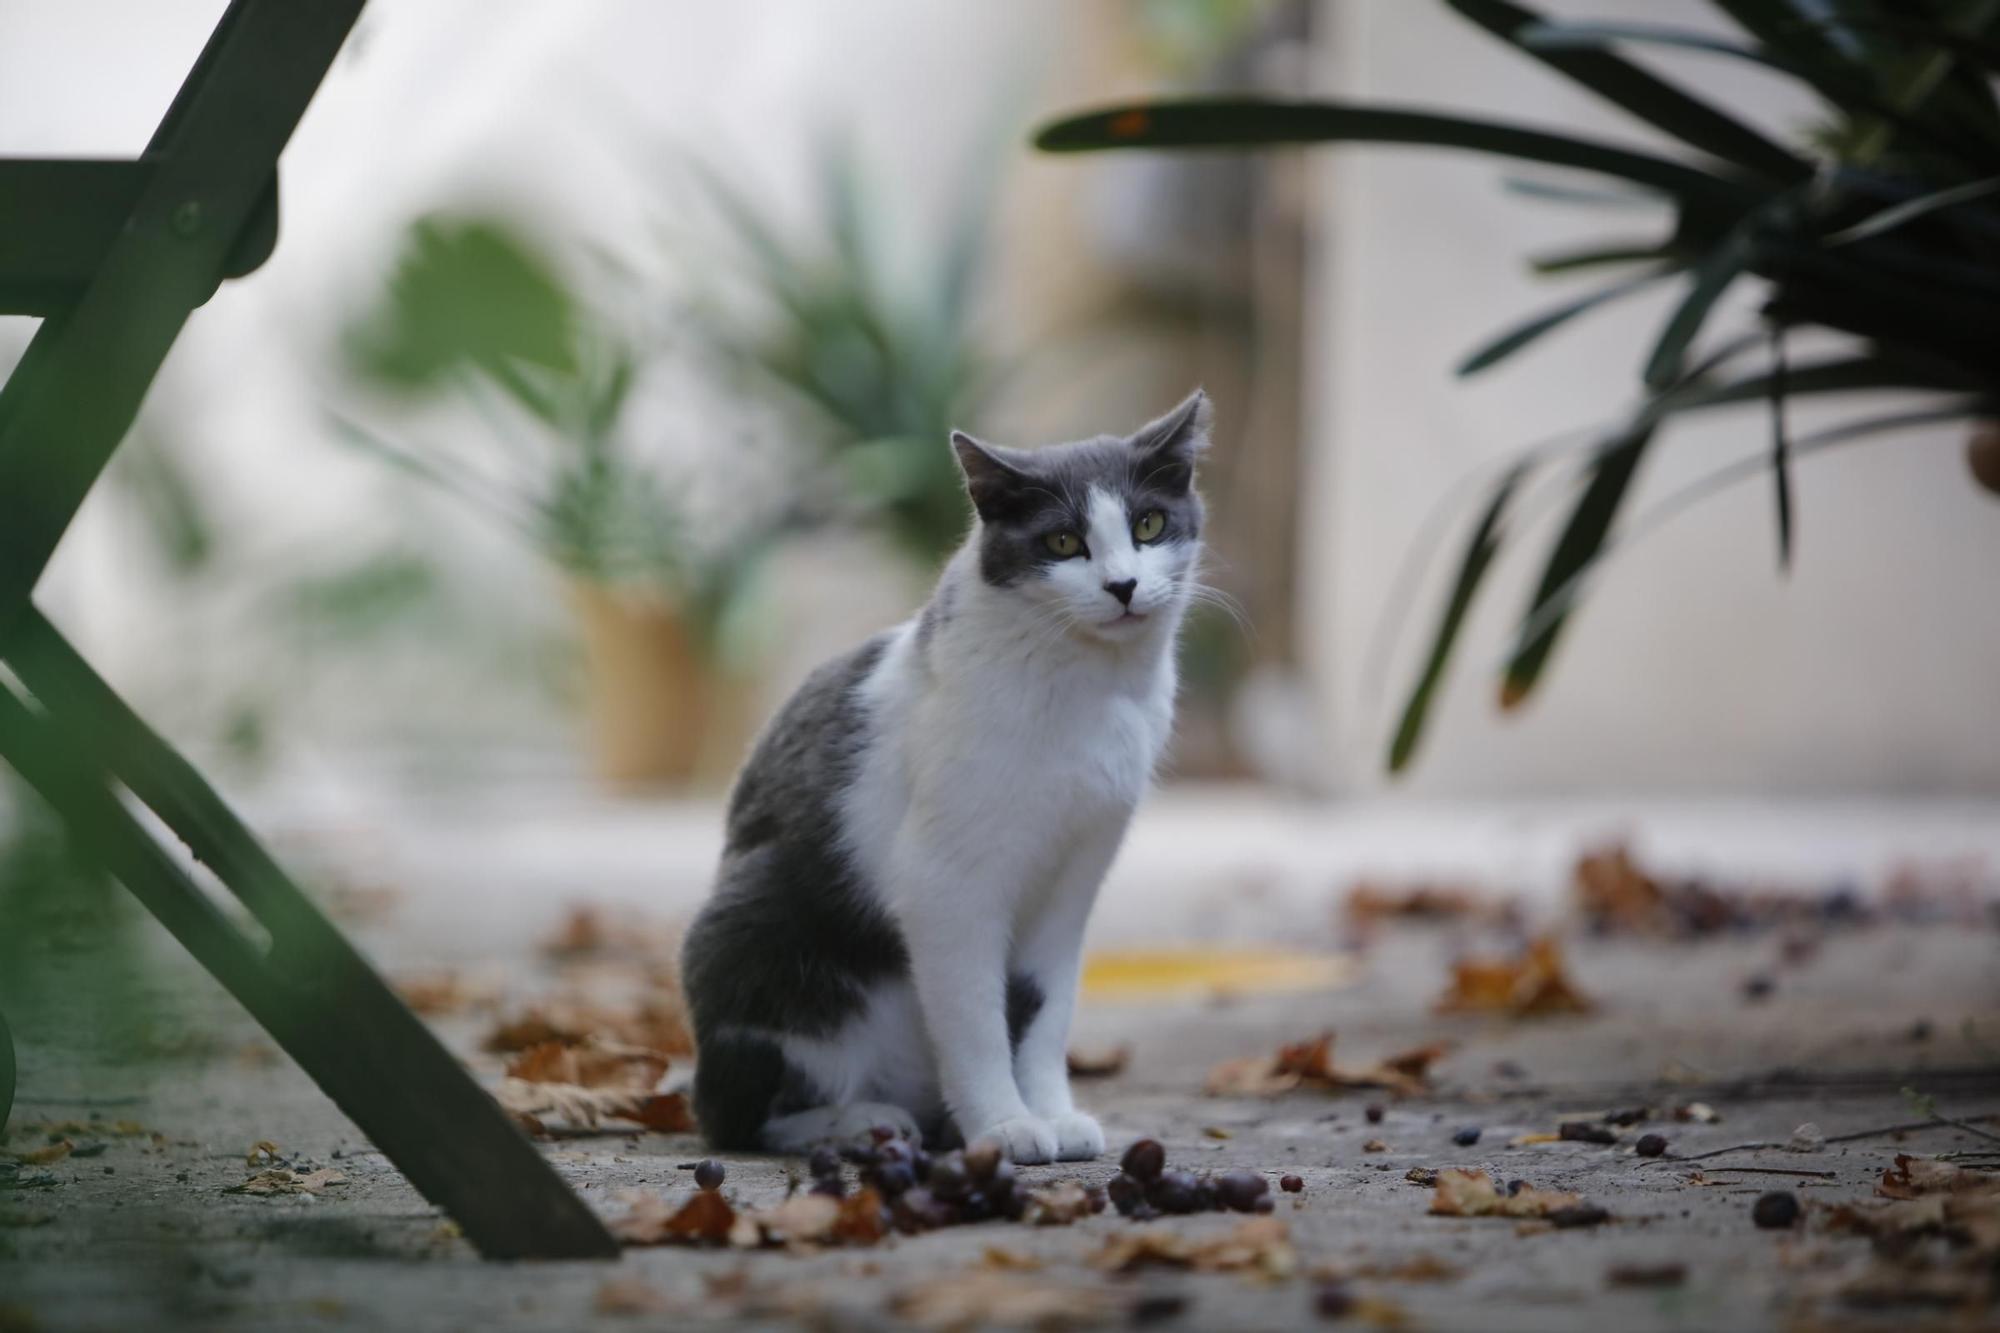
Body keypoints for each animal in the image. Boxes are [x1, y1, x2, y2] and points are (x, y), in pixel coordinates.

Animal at [688, 390, 1208, 1160]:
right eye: (1062, 542)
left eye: (1149, 524)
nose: (1123, 585)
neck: (1086, 689)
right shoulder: (945, 885)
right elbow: (976, 1019)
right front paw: (1005, 1125)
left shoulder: (1074, 876)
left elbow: (1045, 1010)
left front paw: (1051, 1114)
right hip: (754, 934)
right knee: (735, 1117)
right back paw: (859, 1121)